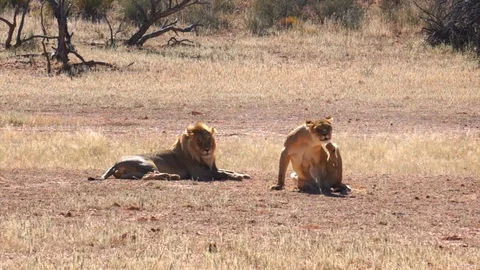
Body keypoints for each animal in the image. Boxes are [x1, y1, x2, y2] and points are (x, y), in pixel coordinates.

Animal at [88, 122, 251, 181]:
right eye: (199, 141)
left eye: (209, 140)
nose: (207, 149)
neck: (205, 158)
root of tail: (115, 162)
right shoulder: (199, 174)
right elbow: (221, 173)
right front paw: (237, 177)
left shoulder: (212, 167)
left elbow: (226, 170)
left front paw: (242, 174)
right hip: (148, 163)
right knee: (149, 176)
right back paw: (172, 176)